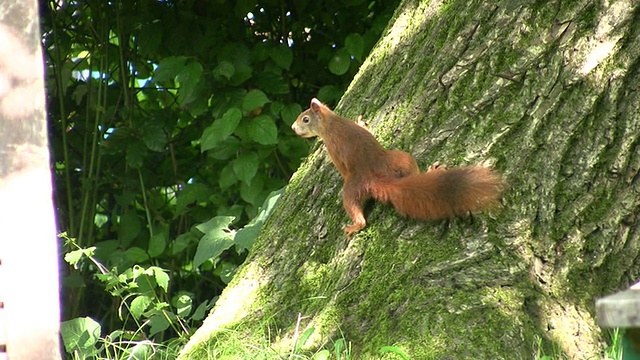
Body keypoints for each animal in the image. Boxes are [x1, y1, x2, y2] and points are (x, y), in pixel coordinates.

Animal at [292, 97, 504, 236]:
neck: (330, 121)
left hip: (351, 190)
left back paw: (354, 226)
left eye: (305, 119)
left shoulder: (332, 149)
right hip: (401, 158)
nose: (293, 128)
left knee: (358, 215)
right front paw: (362, 122)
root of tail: (374, 178)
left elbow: (341, 167)